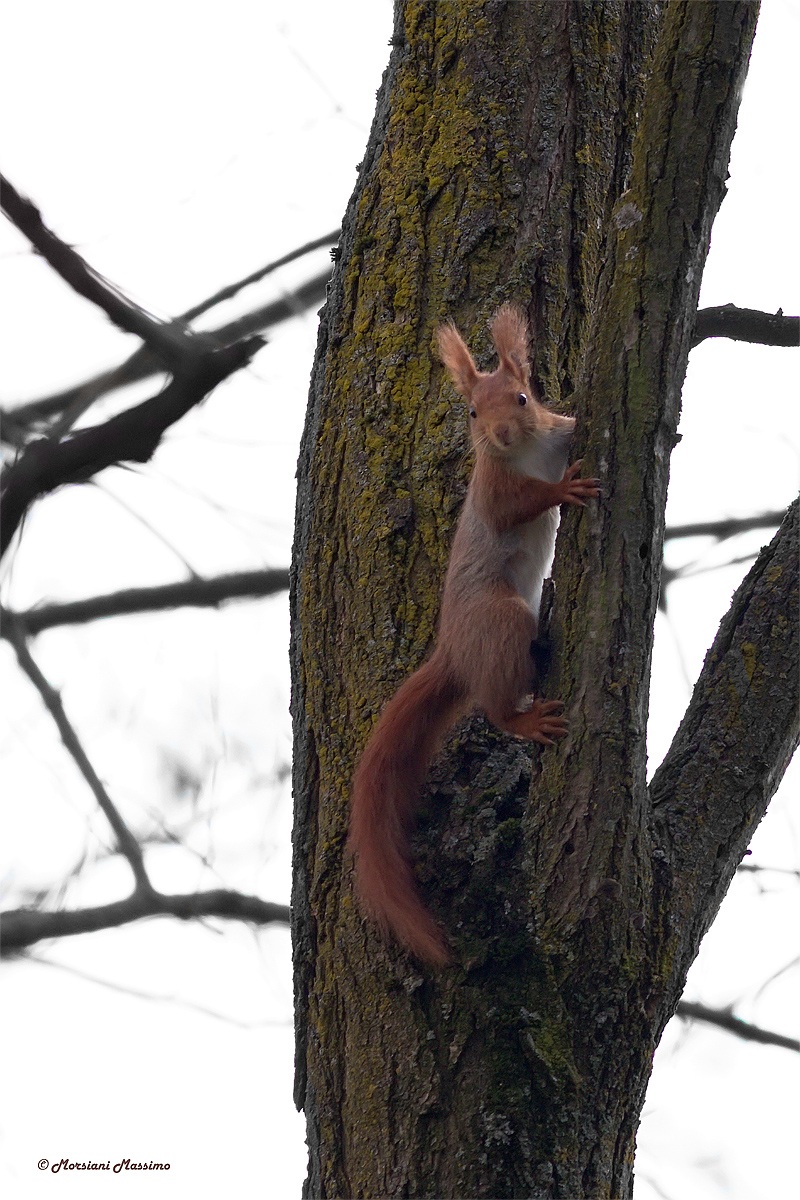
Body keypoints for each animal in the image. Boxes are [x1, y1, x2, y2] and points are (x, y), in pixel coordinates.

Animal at [347, 303, 600, 966]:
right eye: (470, 413)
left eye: (522, 396)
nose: (502, 436)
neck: (529, 451)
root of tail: (453, 651)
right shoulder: (493, 488)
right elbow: (520, 506)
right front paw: (563, 491)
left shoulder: (557, 432)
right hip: (500, 620)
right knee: (494, 706)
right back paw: (525, 719)